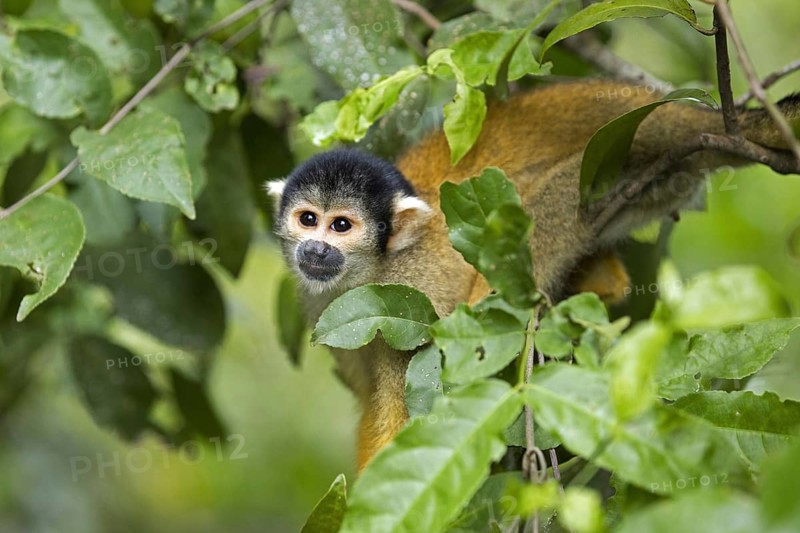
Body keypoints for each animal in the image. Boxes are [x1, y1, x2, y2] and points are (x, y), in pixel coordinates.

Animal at [268, 79, 800, 471]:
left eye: (341, 226)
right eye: (308, 219)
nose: (316, 248)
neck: (370, 269)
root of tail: (687, 116)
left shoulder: (407, 289)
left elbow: (407, 407)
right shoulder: (327, 309)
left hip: (615, 167)